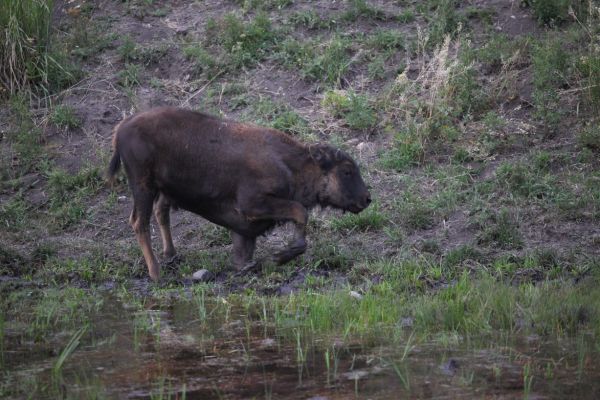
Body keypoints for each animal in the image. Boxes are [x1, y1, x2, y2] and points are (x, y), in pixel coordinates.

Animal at [108, 106, 370, 282]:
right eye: (347, 171)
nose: (367, 199)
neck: (292, 165)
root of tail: (122, 127)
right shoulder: (252, 205)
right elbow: (300, 212)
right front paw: (277, 257)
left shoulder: (245, 229)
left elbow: (244, 253)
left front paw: (249, 267)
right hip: (143, 185)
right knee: (139, 221)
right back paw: (156, 273)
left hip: (161, 189)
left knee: (160, 212)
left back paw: (171, 256)